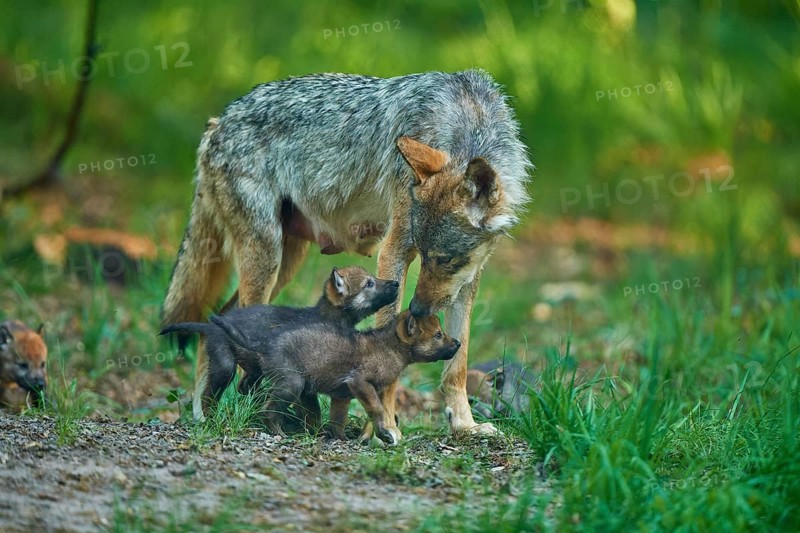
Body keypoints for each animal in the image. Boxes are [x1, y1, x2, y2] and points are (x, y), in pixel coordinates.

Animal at [159, 266, 398, 414]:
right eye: (369, 284)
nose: (396, 283)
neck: (326, 317)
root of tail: (210, 325)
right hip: (225, 366)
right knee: (208, 396)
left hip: (253, 370)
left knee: (243, 388)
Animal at [211, 309, 460, 444]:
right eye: (438, 335)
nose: (458, 343)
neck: (391, 349)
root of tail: (267, 344)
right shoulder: (360, 382)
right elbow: (377, 410)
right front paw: (385, 435)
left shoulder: (343, 395)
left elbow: (339, 418)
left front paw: (341, 438)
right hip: (292, 384)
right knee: (268, 408)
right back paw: (279, 432)